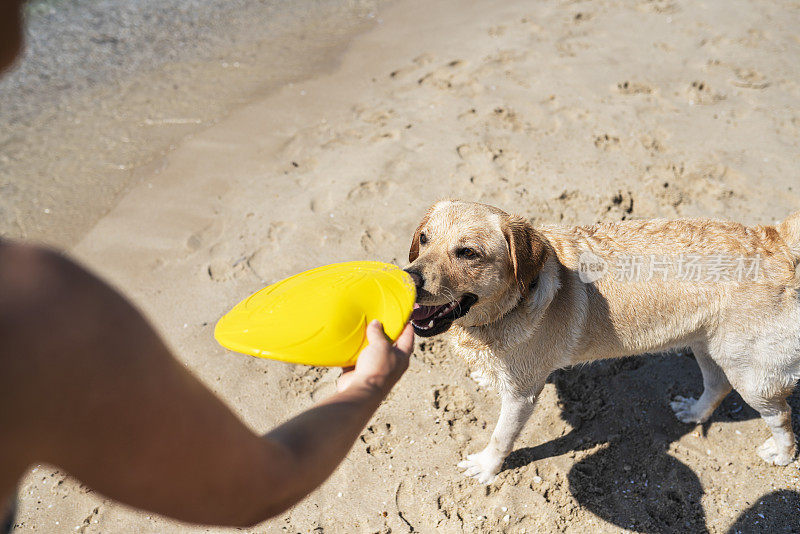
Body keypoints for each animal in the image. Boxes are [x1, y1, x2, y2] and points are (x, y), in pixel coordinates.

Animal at [406, 201, 800, 486]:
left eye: (468, 253)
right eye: (424, 239)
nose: (408, 278)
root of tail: (775, 239)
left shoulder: (522, 396)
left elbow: (502, 436)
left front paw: (487, 468)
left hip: (753, 376)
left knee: (781, 415)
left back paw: (782, 454)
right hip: (708, 346)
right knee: (717, 385)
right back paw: (694, 412)